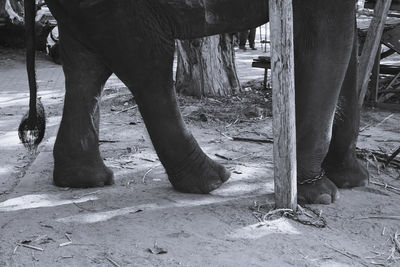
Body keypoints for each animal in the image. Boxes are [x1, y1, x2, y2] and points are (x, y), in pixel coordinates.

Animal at [21, 0, 366, 205]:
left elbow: (348, 45)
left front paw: (352, 180)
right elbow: (327, 39)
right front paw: (321, 195)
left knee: (86, 68)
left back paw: (85, 179)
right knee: (147, 63)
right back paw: (213, 180)